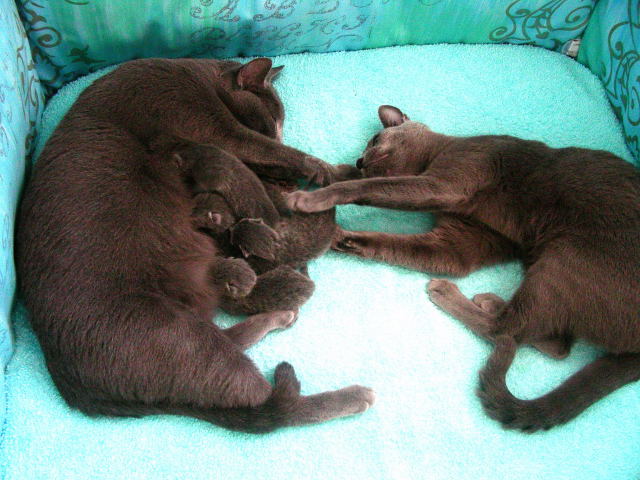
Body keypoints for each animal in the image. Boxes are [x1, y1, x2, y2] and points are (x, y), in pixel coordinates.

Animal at [16, 57, 374, 433]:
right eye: (272, 120)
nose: (279, 131)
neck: (201, 77)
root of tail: (77, 391)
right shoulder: (216, 128)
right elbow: (283, 154)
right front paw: (330, 173)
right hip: (178, 338)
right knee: (272, 408)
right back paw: (353, 394)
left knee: (232, 349)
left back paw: (280, 314)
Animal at [286, 104, 640, 432]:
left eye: (373, 140)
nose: (360, 160)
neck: (439, 151)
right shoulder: (456, 245)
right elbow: (384, 229)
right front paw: (330, 224)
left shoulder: (445, 183)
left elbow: (371, 187)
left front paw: (308, 199)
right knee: (556, 343)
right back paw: (491, 301)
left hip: (564, 259)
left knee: (506, 331)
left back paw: (451, 293)